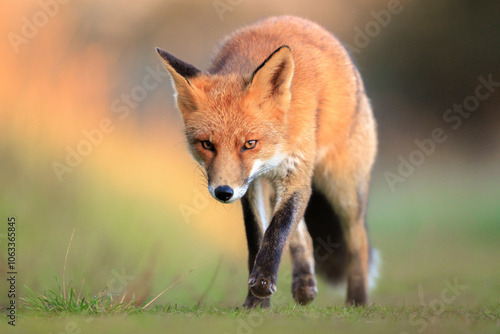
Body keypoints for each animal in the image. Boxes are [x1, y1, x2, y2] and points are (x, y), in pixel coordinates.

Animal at [158, 16, 376, 308]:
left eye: (250, 144)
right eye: (207, 144)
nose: (223, 192)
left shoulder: (296, 174)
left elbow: (277, 230)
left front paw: (262, 284)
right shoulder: (250, 184)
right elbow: (258, 236)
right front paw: (255, 303)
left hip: (344, 188)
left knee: (357, 241)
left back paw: (357, 301)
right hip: (274, 186)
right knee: (304, 236)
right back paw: (304, 284)